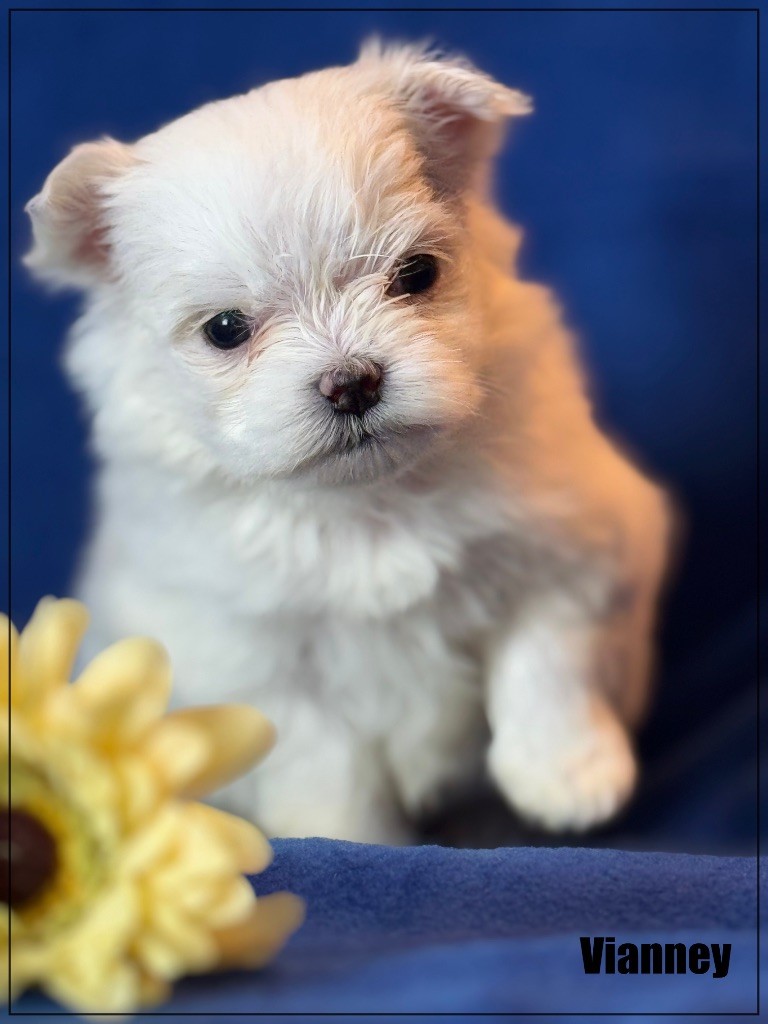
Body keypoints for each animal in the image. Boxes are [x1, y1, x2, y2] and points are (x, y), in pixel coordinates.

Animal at [27, 44, 671, 843]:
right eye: (226, 330)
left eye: (416, 273)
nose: (351, 381)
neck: (369, 502)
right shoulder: (252, 663)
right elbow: (327, 766)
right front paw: (351, 843)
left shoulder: (571, 541)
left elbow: (547, 661)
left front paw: (566, 777)